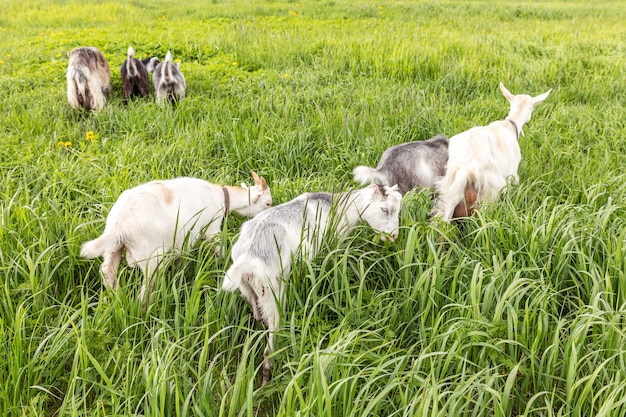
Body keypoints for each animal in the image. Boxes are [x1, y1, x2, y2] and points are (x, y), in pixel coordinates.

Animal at [222, 184, 402, 386]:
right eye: (385, 209)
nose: (394, 236)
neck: (341, 206)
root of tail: (247, 259)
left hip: (249, 290)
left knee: (258, 315)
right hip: (273, 292)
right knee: (270, 344)